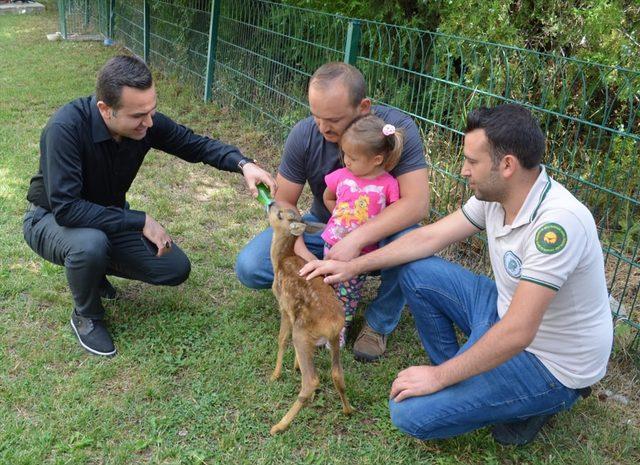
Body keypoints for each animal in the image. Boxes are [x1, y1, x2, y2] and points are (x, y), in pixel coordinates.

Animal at [266, 201, 356, 434]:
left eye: (280, 214)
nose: (270, 202)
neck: (281, 259)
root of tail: (333, 324)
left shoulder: (284, 306)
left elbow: (281, 339)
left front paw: (276, 374)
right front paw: (296, 365)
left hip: (302, 332)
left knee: (311, 382)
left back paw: (279, 425)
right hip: (331, 340)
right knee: (337, 374)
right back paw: (348, 409)